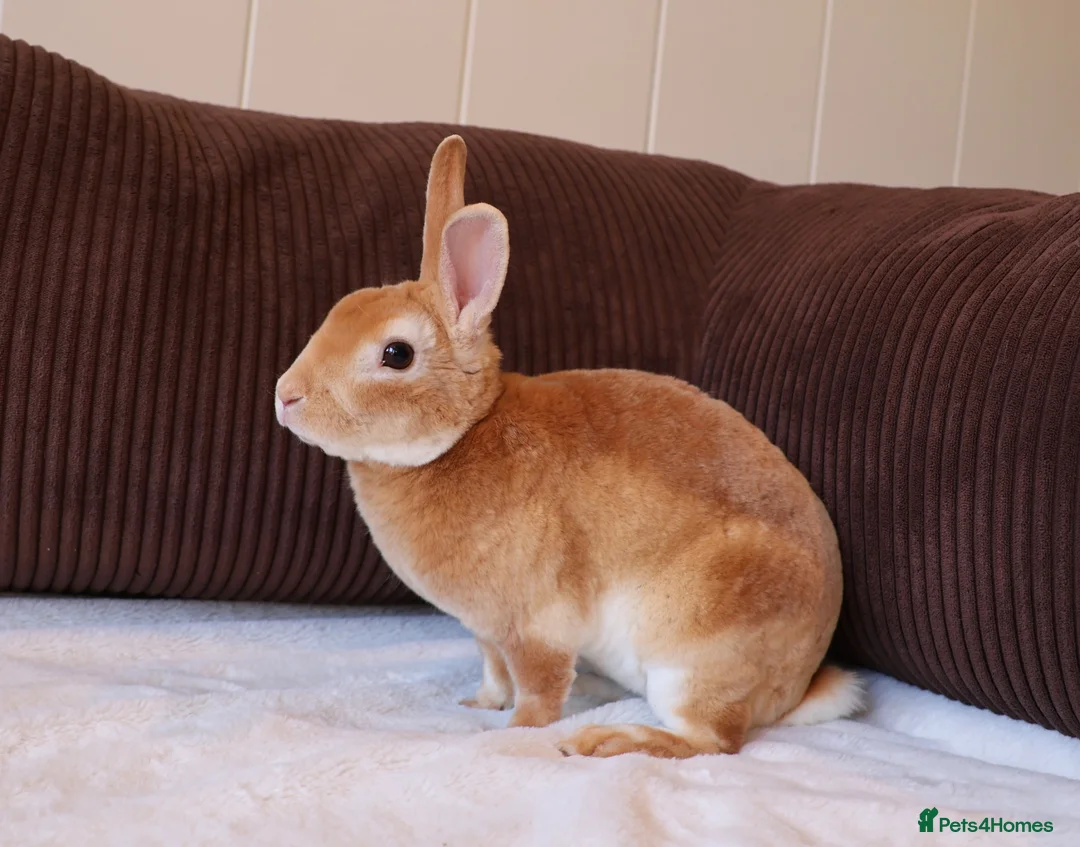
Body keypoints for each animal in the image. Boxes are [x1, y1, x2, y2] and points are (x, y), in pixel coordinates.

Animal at [274, 135, 863, 759]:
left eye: (396, 354)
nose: (285, 396)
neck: (465, 433)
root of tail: (797, 686)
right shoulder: (487, 631)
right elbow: (493, 670)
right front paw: (479, 706)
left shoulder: (536, 624)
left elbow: (540, 685)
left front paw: (516, 731)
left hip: (694, 648)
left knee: (711, 740)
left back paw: (604, 741)